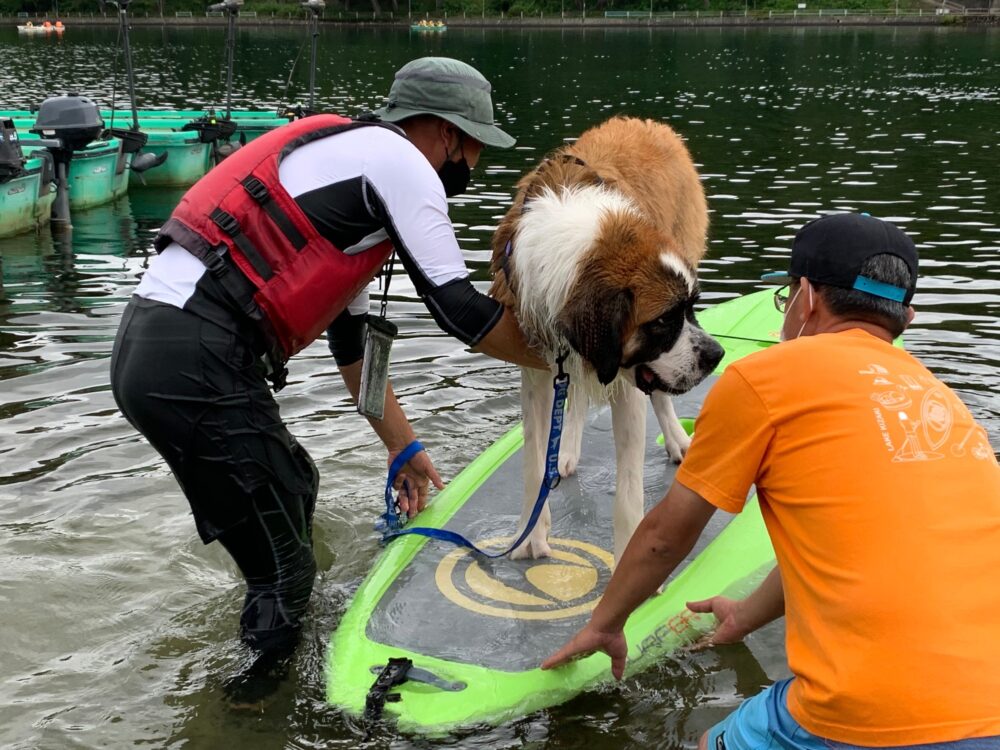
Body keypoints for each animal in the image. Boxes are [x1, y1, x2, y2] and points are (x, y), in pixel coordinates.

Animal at [488, 116, 724, 564]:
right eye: (664, 320)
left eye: (691, 308)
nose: (716, 355)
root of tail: (652, 125)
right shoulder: (537, 362)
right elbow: (532, 455)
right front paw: (530, 533)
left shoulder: (626, 379)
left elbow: (629, 490)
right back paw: (565, 452)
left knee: (658, 395)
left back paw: (678, 439)